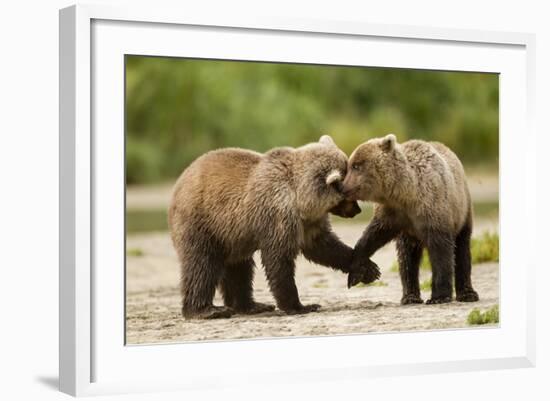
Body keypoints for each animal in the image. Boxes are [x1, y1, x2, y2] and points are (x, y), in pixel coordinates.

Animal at [170, 136, 382, 318]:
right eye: (349, 193)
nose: (357, 210)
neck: (301, 199)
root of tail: (178, 184)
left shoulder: (309, 222)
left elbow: (323, 246)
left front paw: (367, 268)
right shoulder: (277, 214)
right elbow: (278, 258)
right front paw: (301, 306)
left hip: (233, 236)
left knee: (239, 269)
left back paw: (252, 305)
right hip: (203, 223)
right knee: (202, 264)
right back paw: (207, 310)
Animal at [344, 134, 478, 304]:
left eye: (356, 166)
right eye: (350, 165)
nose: (342, 186)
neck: (406, 193)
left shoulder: (433, 209)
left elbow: (441, 252)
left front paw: (439, 296)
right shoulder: (393, 214)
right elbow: (373, 235)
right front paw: (356, 272)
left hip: (462, 211)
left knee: (462, 249)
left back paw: (468, 294)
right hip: (409, 235)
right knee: (407, 258)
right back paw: (410, 296)